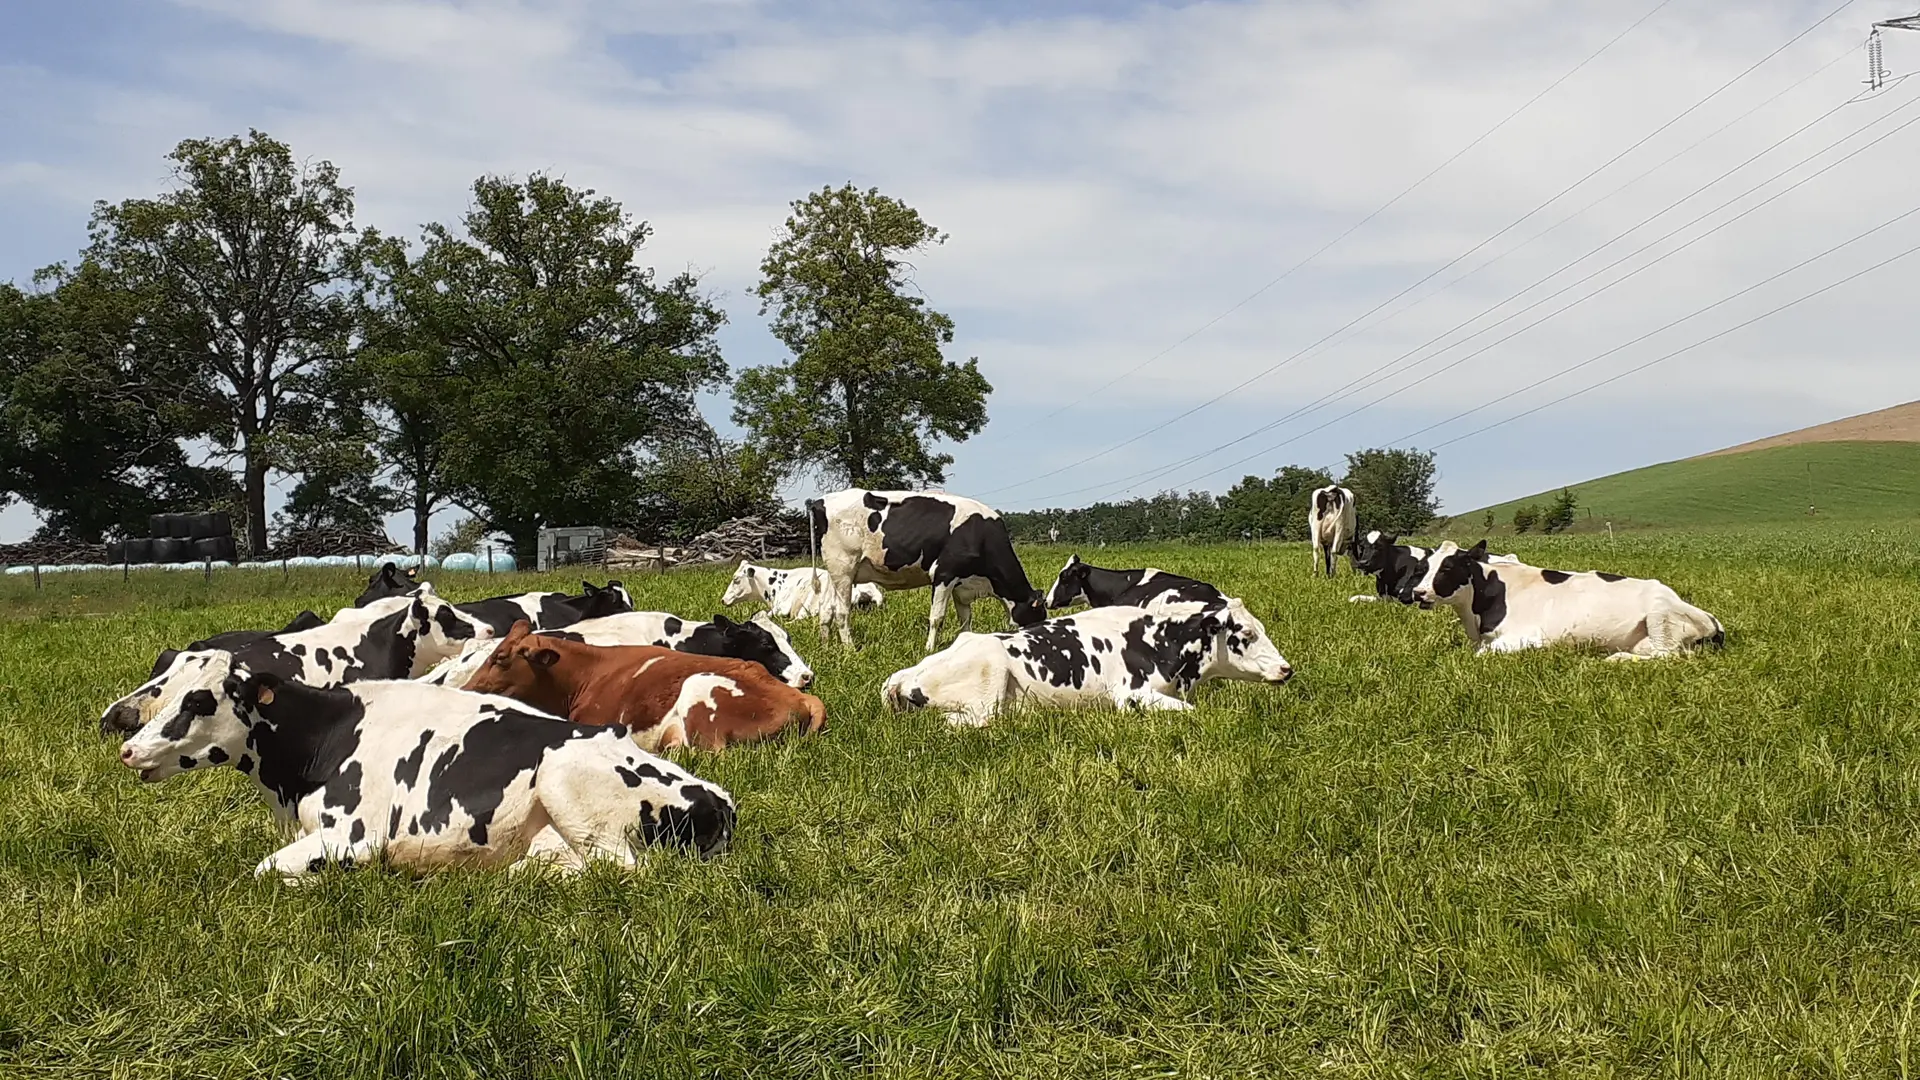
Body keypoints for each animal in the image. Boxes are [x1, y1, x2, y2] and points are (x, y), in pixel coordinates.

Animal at [115, 670, 734, 879]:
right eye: (161, 690)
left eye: (198, 701)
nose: (128, 749)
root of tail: (719, 801)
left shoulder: (355, 835)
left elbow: (266, 871)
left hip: (566, 779)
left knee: (621, 871)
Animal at [809, 488, 1046, 651]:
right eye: (1037, 619)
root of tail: (820, 501)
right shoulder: (944, 574)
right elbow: (937, 617)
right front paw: (929, 648)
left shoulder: (962, 585)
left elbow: (965, 619)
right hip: (844, 567)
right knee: (842, 612)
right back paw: (850, 649)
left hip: (835, 573)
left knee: (827, 609)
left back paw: (826, 646)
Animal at [881, 598, 1293, 726]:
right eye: (1247, 634)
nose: (1287, 669)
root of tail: (904, 674)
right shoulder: (1130, 696)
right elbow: (1191, 711)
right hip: (988, 690)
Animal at [1410, 540, 1725, 660]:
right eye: (1425, 565)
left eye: (1448, 568)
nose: (1418, 593)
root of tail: (1712, 620)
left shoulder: (1524, 637)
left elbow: (1480, 656)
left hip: (1660, 616)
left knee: (1667, 656)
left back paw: (1616, 659)